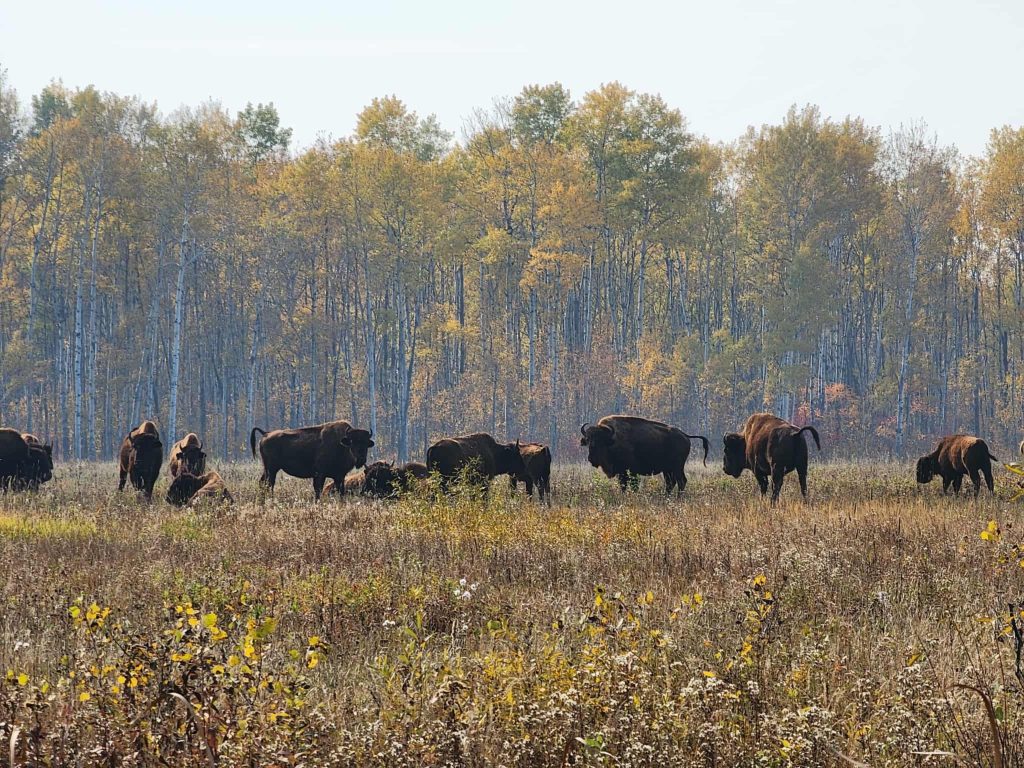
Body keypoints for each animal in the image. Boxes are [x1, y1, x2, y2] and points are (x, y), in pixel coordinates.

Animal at [580, 415, 708, 496]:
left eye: (600, 440)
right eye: (588, 439)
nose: (591, 458)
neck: (612, 439)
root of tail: (685, 435)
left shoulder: (631, 471)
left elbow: (633, 485)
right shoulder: (621, 472)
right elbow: (623, 485)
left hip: (677, 467)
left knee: (681, 481)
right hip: (667, 470)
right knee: (671, 483)